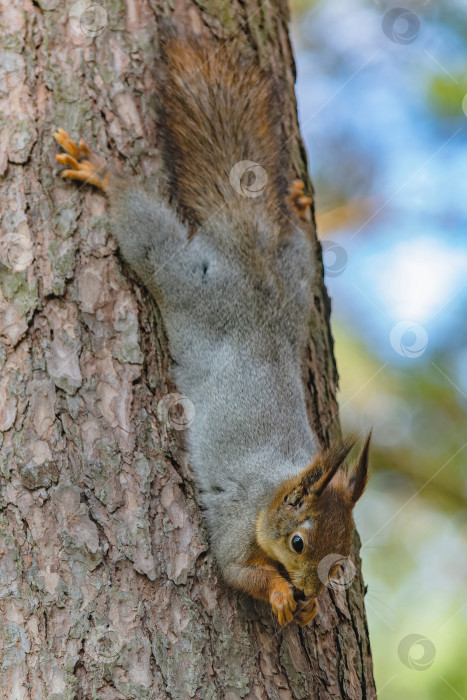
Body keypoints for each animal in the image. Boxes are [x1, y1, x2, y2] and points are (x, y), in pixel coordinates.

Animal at [52, 32, 370, 628]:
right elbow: (235, 571)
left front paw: (311, 608)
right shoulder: (237, 517)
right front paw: (279, 594)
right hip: (183, 279)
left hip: (299, 285)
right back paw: (105, 174)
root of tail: (247, 258)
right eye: (298, 543)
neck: (276, 488)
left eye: (343, 559)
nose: (311, 591)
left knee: (296, 247)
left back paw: (295, 208)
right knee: (147, 235)